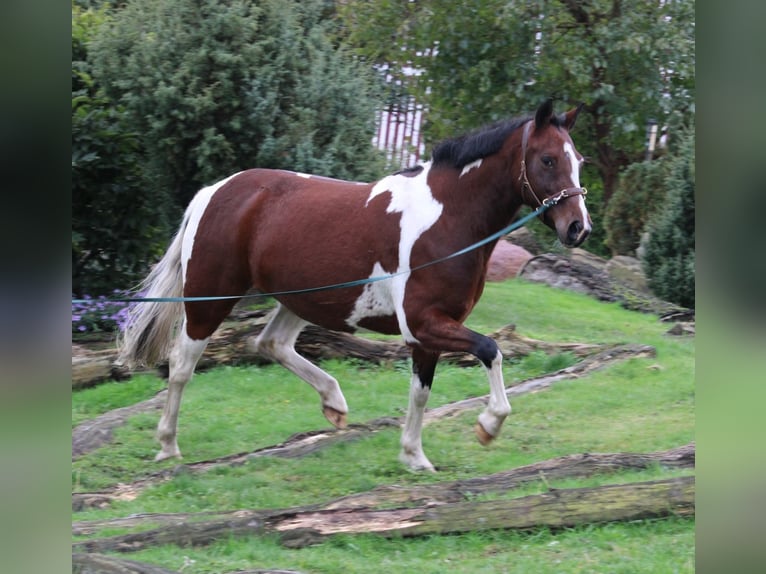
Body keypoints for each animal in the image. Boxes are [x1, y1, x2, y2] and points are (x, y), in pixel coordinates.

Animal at [117, 99, 591, 471]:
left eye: (579, 160)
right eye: (548, 159)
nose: (578, 228)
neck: (448, 218)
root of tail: (213, 192)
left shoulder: (427, 333)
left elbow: (421, 392)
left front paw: (414, 457)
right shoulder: (424, 322)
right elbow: (491, 350)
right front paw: (488, 425)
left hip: (298, 300)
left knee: (271, 344)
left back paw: (335, 403)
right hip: (210, 299)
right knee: (182, 364)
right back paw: (168, 446)